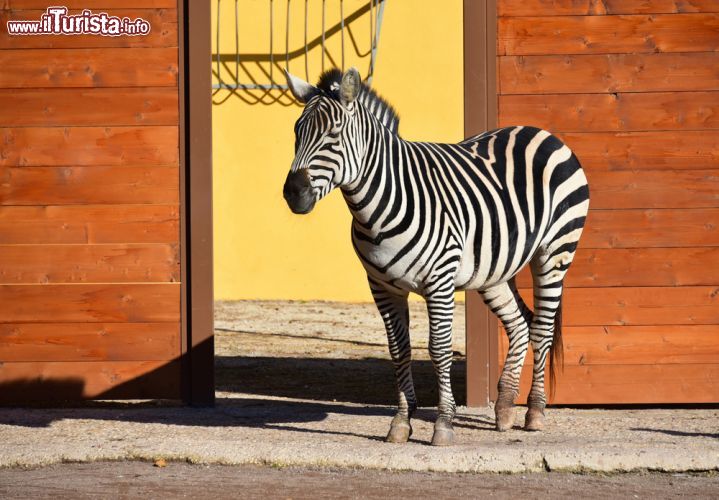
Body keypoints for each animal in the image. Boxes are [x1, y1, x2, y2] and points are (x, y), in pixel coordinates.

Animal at [282, 66, 592, 446]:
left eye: (333, 134)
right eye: (296, 132)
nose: (293, 193)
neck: (379, 203)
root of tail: (539, 131)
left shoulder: (439, 280)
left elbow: (439, 348)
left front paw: (444, 423)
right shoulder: (382, 286)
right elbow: (398, 350)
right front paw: (401, 422)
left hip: (554, 251)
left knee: (543, 328)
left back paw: (534, 412)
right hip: (492, 268)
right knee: (520, 322)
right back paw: (505, 408)